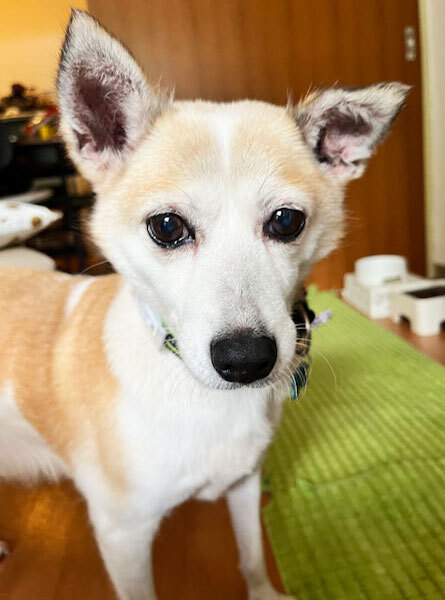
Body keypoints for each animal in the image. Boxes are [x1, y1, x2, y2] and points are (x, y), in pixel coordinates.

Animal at [0, 10, 408, 600]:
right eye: (167, 227)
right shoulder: (123, 534)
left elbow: (253, 556)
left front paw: (263, 592)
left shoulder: (244, 484)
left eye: (287, 221)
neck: (203, 398)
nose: (245, 360)